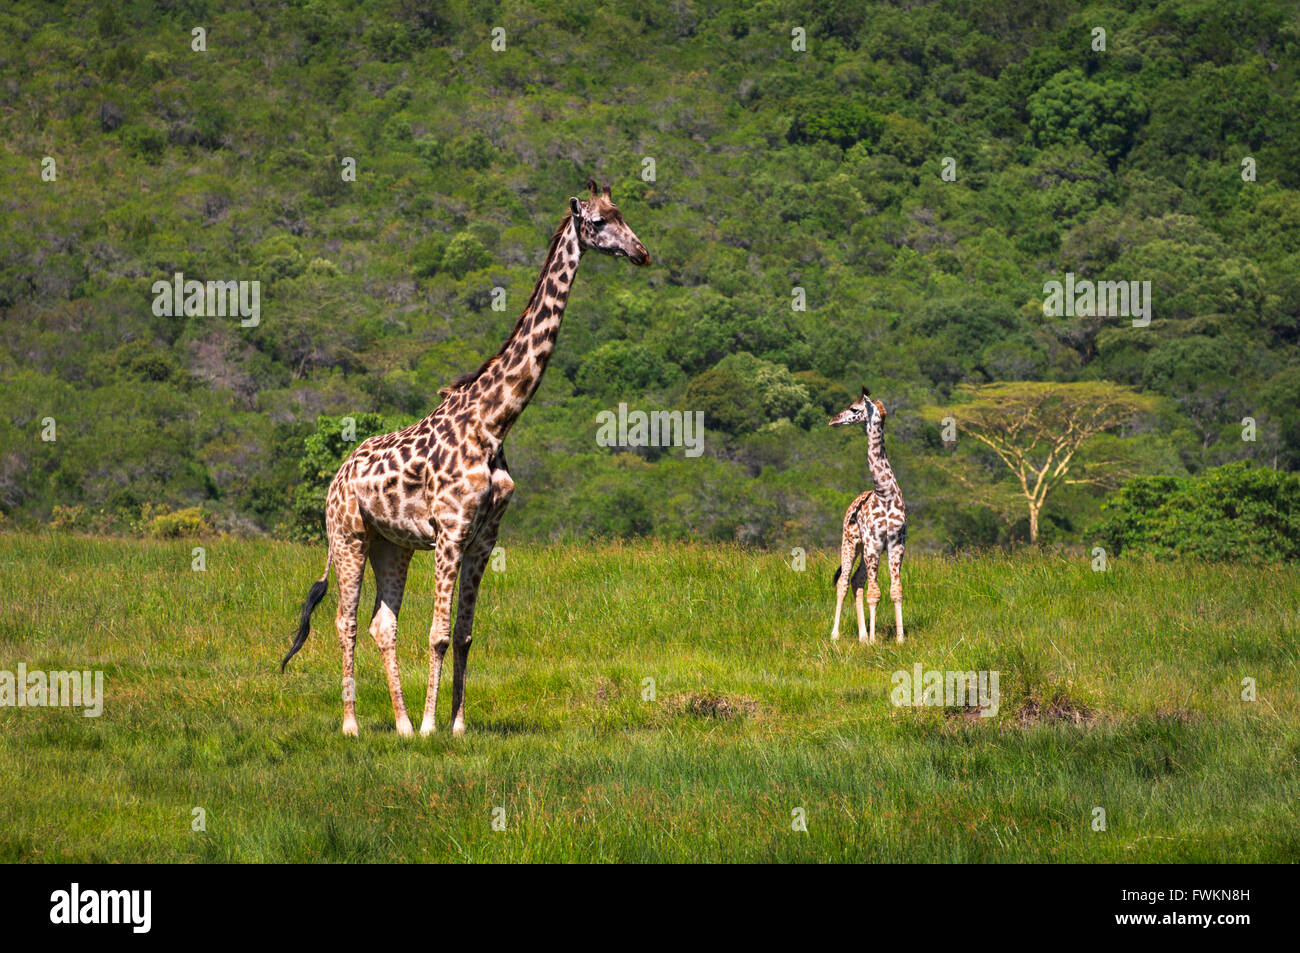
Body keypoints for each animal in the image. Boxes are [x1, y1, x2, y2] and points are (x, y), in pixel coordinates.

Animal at [282, 182, 650, 738]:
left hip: (394, 545)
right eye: (600, 222)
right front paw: (433, 727)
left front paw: (453, 726)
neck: (494, 422)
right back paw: (353, 725)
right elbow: (436, 633)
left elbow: (464, 633)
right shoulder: (451, 532)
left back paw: (400, 724)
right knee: (345, 621)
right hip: (348, 536)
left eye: (622, 214)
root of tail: (337, 477)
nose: (642, 253)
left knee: (382, 624)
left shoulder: (484, 537)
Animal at [826, 390, 909, 642]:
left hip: (864, 549)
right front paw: (874, 641)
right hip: (850, 543)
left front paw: (900, 639)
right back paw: (835, 634)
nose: (833, 420)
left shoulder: (896, 544)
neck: (884, 493)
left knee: (856, 581)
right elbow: (875, 593)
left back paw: (862, 636)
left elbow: (895, 590)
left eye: (854, 409)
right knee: (843, 582)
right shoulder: (874, 544)